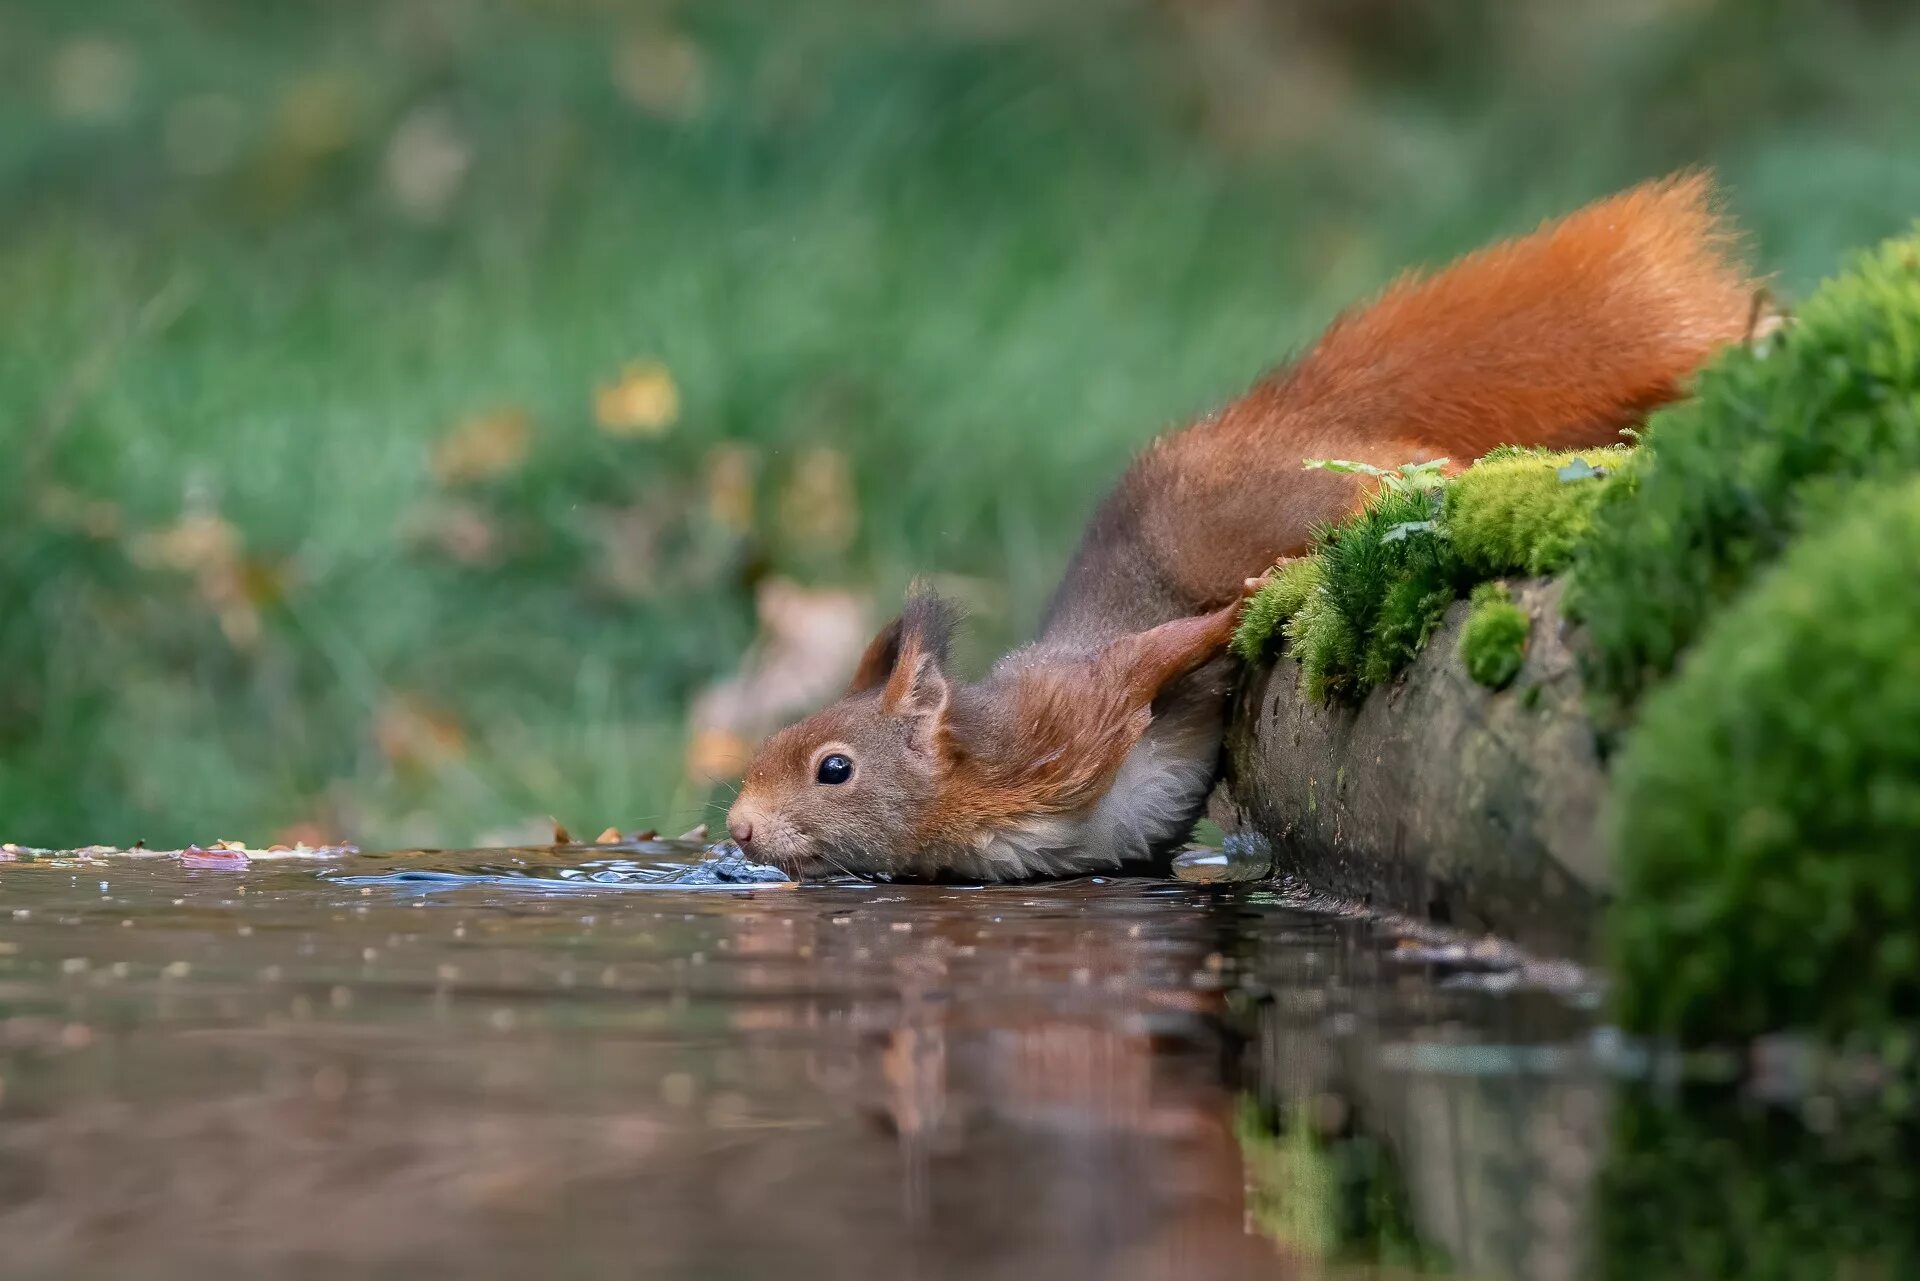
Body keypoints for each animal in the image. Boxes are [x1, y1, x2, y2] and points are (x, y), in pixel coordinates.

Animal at [721, 172, 1758, 883]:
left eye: (833, 768)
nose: (735, 830)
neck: (971, 789)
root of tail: (1274, 424)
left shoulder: (1071, 710)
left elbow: (1158, 653)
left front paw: (1233, 617)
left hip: (1262, 502)